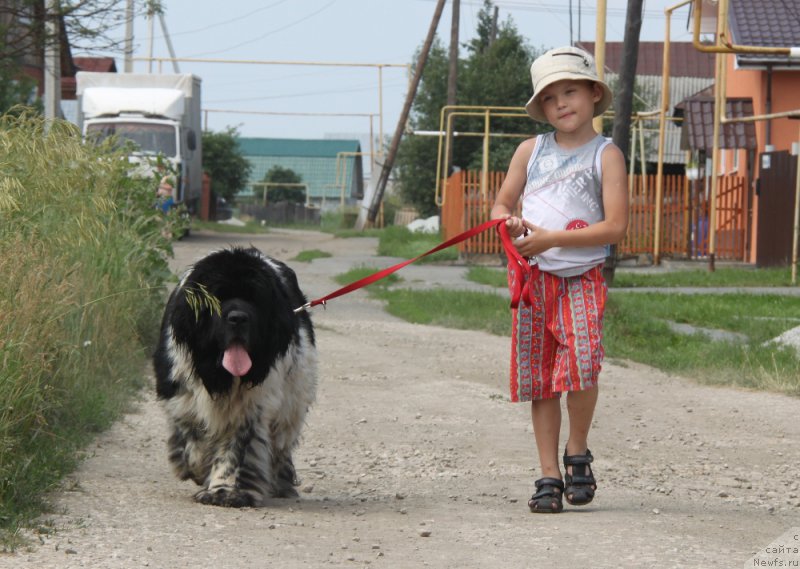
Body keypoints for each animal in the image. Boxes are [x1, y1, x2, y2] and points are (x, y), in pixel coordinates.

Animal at [152, 245, 318, 506]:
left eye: (255, 299)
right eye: (218, 297)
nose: (238, 317)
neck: (218, 372)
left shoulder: (249, 406)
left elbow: (236, 448)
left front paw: (225, 490)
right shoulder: (179, 394)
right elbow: (191, 438)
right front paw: (198, 468)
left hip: (293, 401)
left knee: (280, 446)